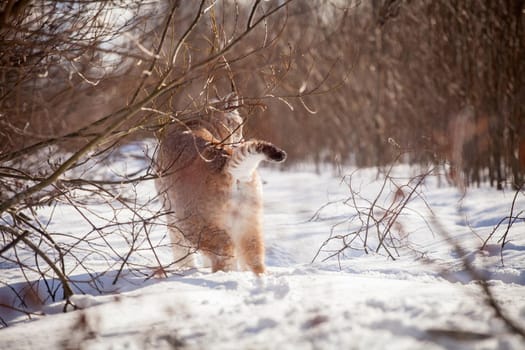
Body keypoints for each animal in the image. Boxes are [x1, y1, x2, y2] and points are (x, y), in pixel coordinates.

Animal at [155, 97, 286, 274]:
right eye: (239, 126)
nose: (241, 140)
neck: (199, 122)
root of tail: (226, 159)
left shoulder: (170, 211)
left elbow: (179, 247)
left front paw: (186, 269)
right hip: (249, 218)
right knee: (253, 255)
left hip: (192, 219)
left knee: (223, 252)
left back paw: (222, 275)